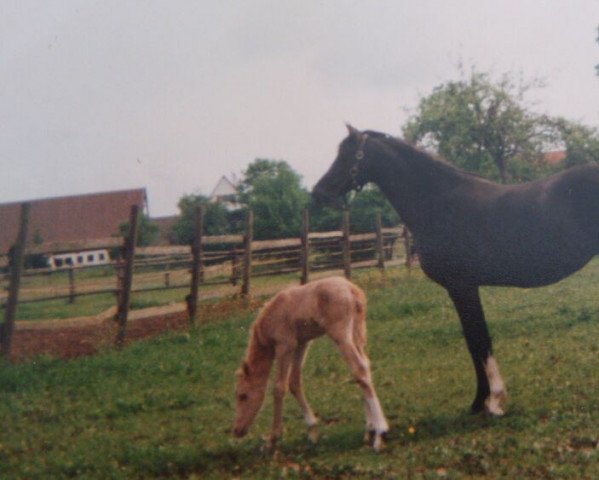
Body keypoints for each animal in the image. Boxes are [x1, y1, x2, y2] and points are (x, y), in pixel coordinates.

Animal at [232, 276, 392, 452]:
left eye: (243, 395)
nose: (237, 430)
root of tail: (352, 291)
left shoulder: (284, 346)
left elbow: (279, 388)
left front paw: (273, 438)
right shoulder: (301, 344)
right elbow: (294, 383)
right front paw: (312, 431)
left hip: (341, 335)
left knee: (359, 370)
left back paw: (380, 432)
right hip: (357, 333)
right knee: (365, 368)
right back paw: (370, 430)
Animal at [314, 125, 599, 414]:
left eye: (347, 154)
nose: (319, 192)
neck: (440, 204)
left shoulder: (462, 288)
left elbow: (477, 341)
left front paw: (489, 400)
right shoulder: (465, 288)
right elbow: (476, 341)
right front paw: (484, 400)